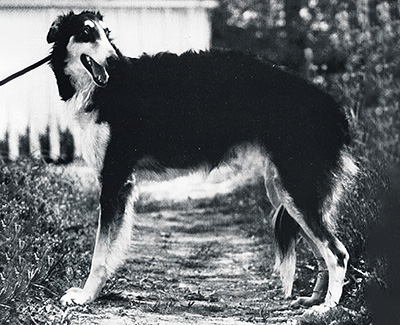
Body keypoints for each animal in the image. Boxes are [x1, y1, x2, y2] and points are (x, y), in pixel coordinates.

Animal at [47, 12, 360, 312]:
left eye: (107, 34)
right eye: (86, 32)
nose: (113, 61)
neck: (102, 90)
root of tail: (332, 108)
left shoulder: (114, 179)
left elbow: (99, 255)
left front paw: (86, 296)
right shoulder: (121, 185)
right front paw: (93, 294)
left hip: (296, 189)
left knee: (337, 253)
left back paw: (327, 307)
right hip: (285, 191)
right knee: (323, 253)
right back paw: (314, 300)